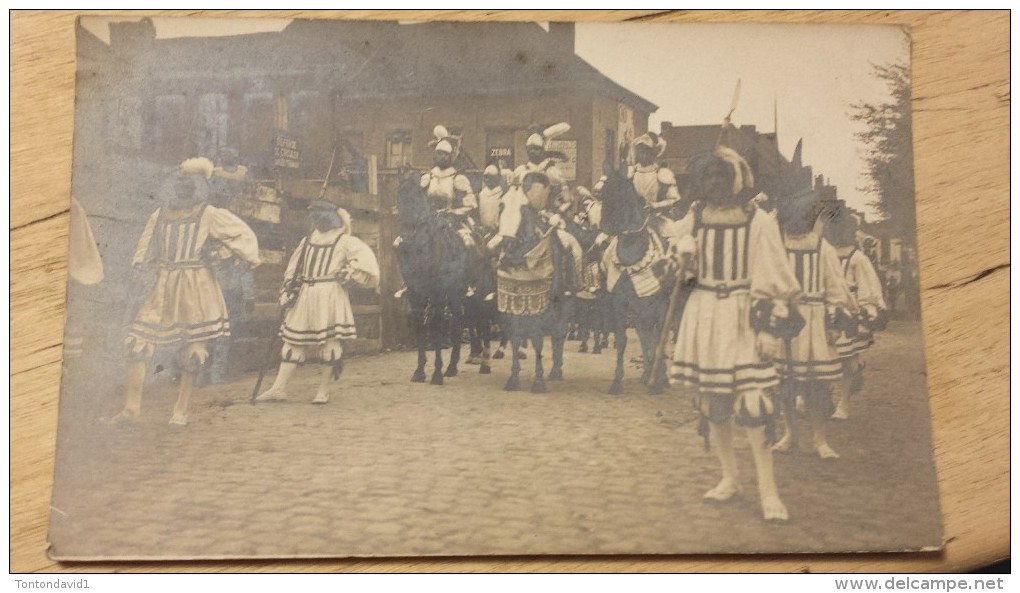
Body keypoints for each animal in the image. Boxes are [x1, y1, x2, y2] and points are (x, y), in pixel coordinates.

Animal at [393, 168, 469, 385]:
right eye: (399, 198)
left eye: (416, 200)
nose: (406, 238)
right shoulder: (415, 293)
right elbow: (420, 325)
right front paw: (419, 371)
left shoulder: (436, 293)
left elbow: (436, 326)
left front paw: (436, 373)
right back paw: (451, 367)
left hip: (456, 293)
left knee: (457, 322)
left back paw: (451, 367)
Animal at [599, 162, 673, 393]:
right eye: (602, 194)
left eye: (621, 192)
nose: (605, 226)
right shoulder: (620, 304)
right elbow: (623, 339)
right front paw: (617, 381)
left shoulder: (658, 305)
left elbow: (657, 338)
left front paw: (658, 381)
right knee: (643, 334)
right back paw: (648, 373)